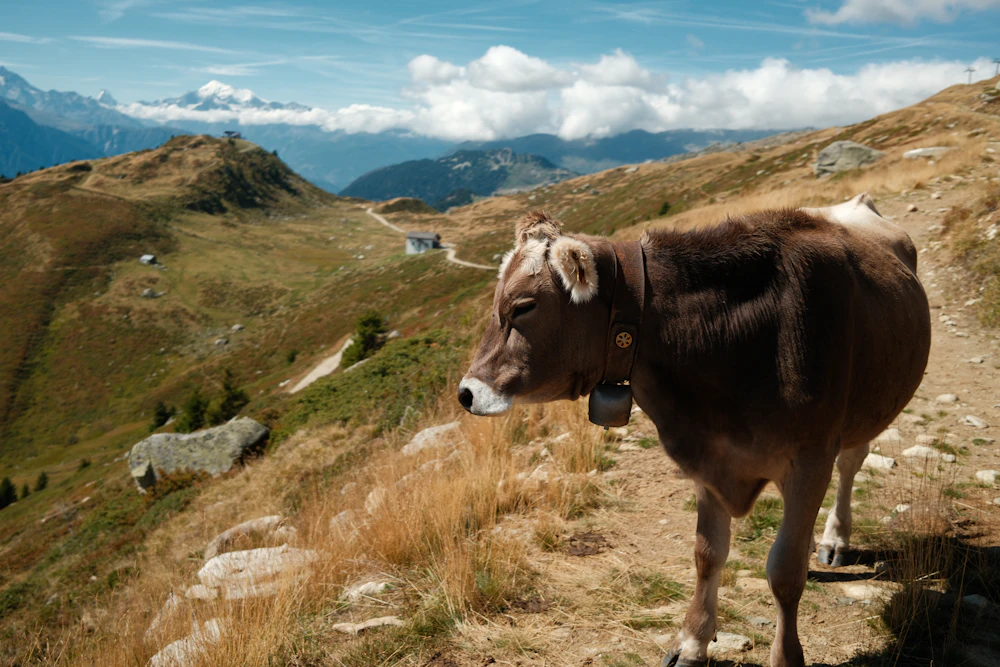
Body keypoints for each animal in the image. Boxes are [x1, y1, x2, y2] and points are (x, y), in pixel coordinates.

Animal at [458, 193, 931, 667]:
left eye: (523, 306)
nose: (467, 392)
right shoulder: (708, 454)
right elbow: (707, 553)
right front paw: (692, 641)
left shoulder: (810, 459)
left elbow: (784, 571)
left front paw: (784, 655)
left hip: (866, 411)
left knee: (851, 463)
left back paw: (835, 539)